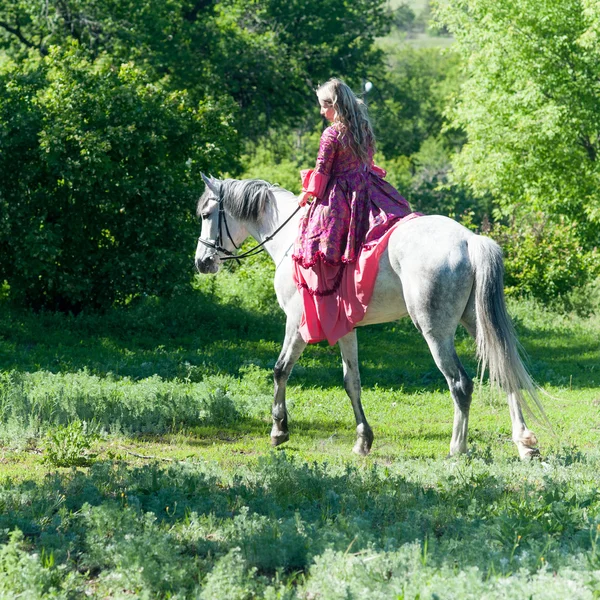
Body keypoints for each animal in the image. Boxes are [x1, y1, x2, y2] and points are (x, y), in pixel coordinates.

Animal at [195, 173, 548, 460]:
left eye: (207, 214)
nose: (202, 261)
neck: (292, 239)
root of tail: (469, 240)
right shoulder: (345, 329)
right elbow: (351, 381)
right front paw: (363, 440)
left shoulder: (296, 323)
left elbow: (280, 370)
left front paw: (279, 430)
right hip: (477, 324)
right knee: (505, 370)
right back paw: (524, 444)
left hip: (435, 333)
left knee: (460, 384)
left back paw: (457, 448)